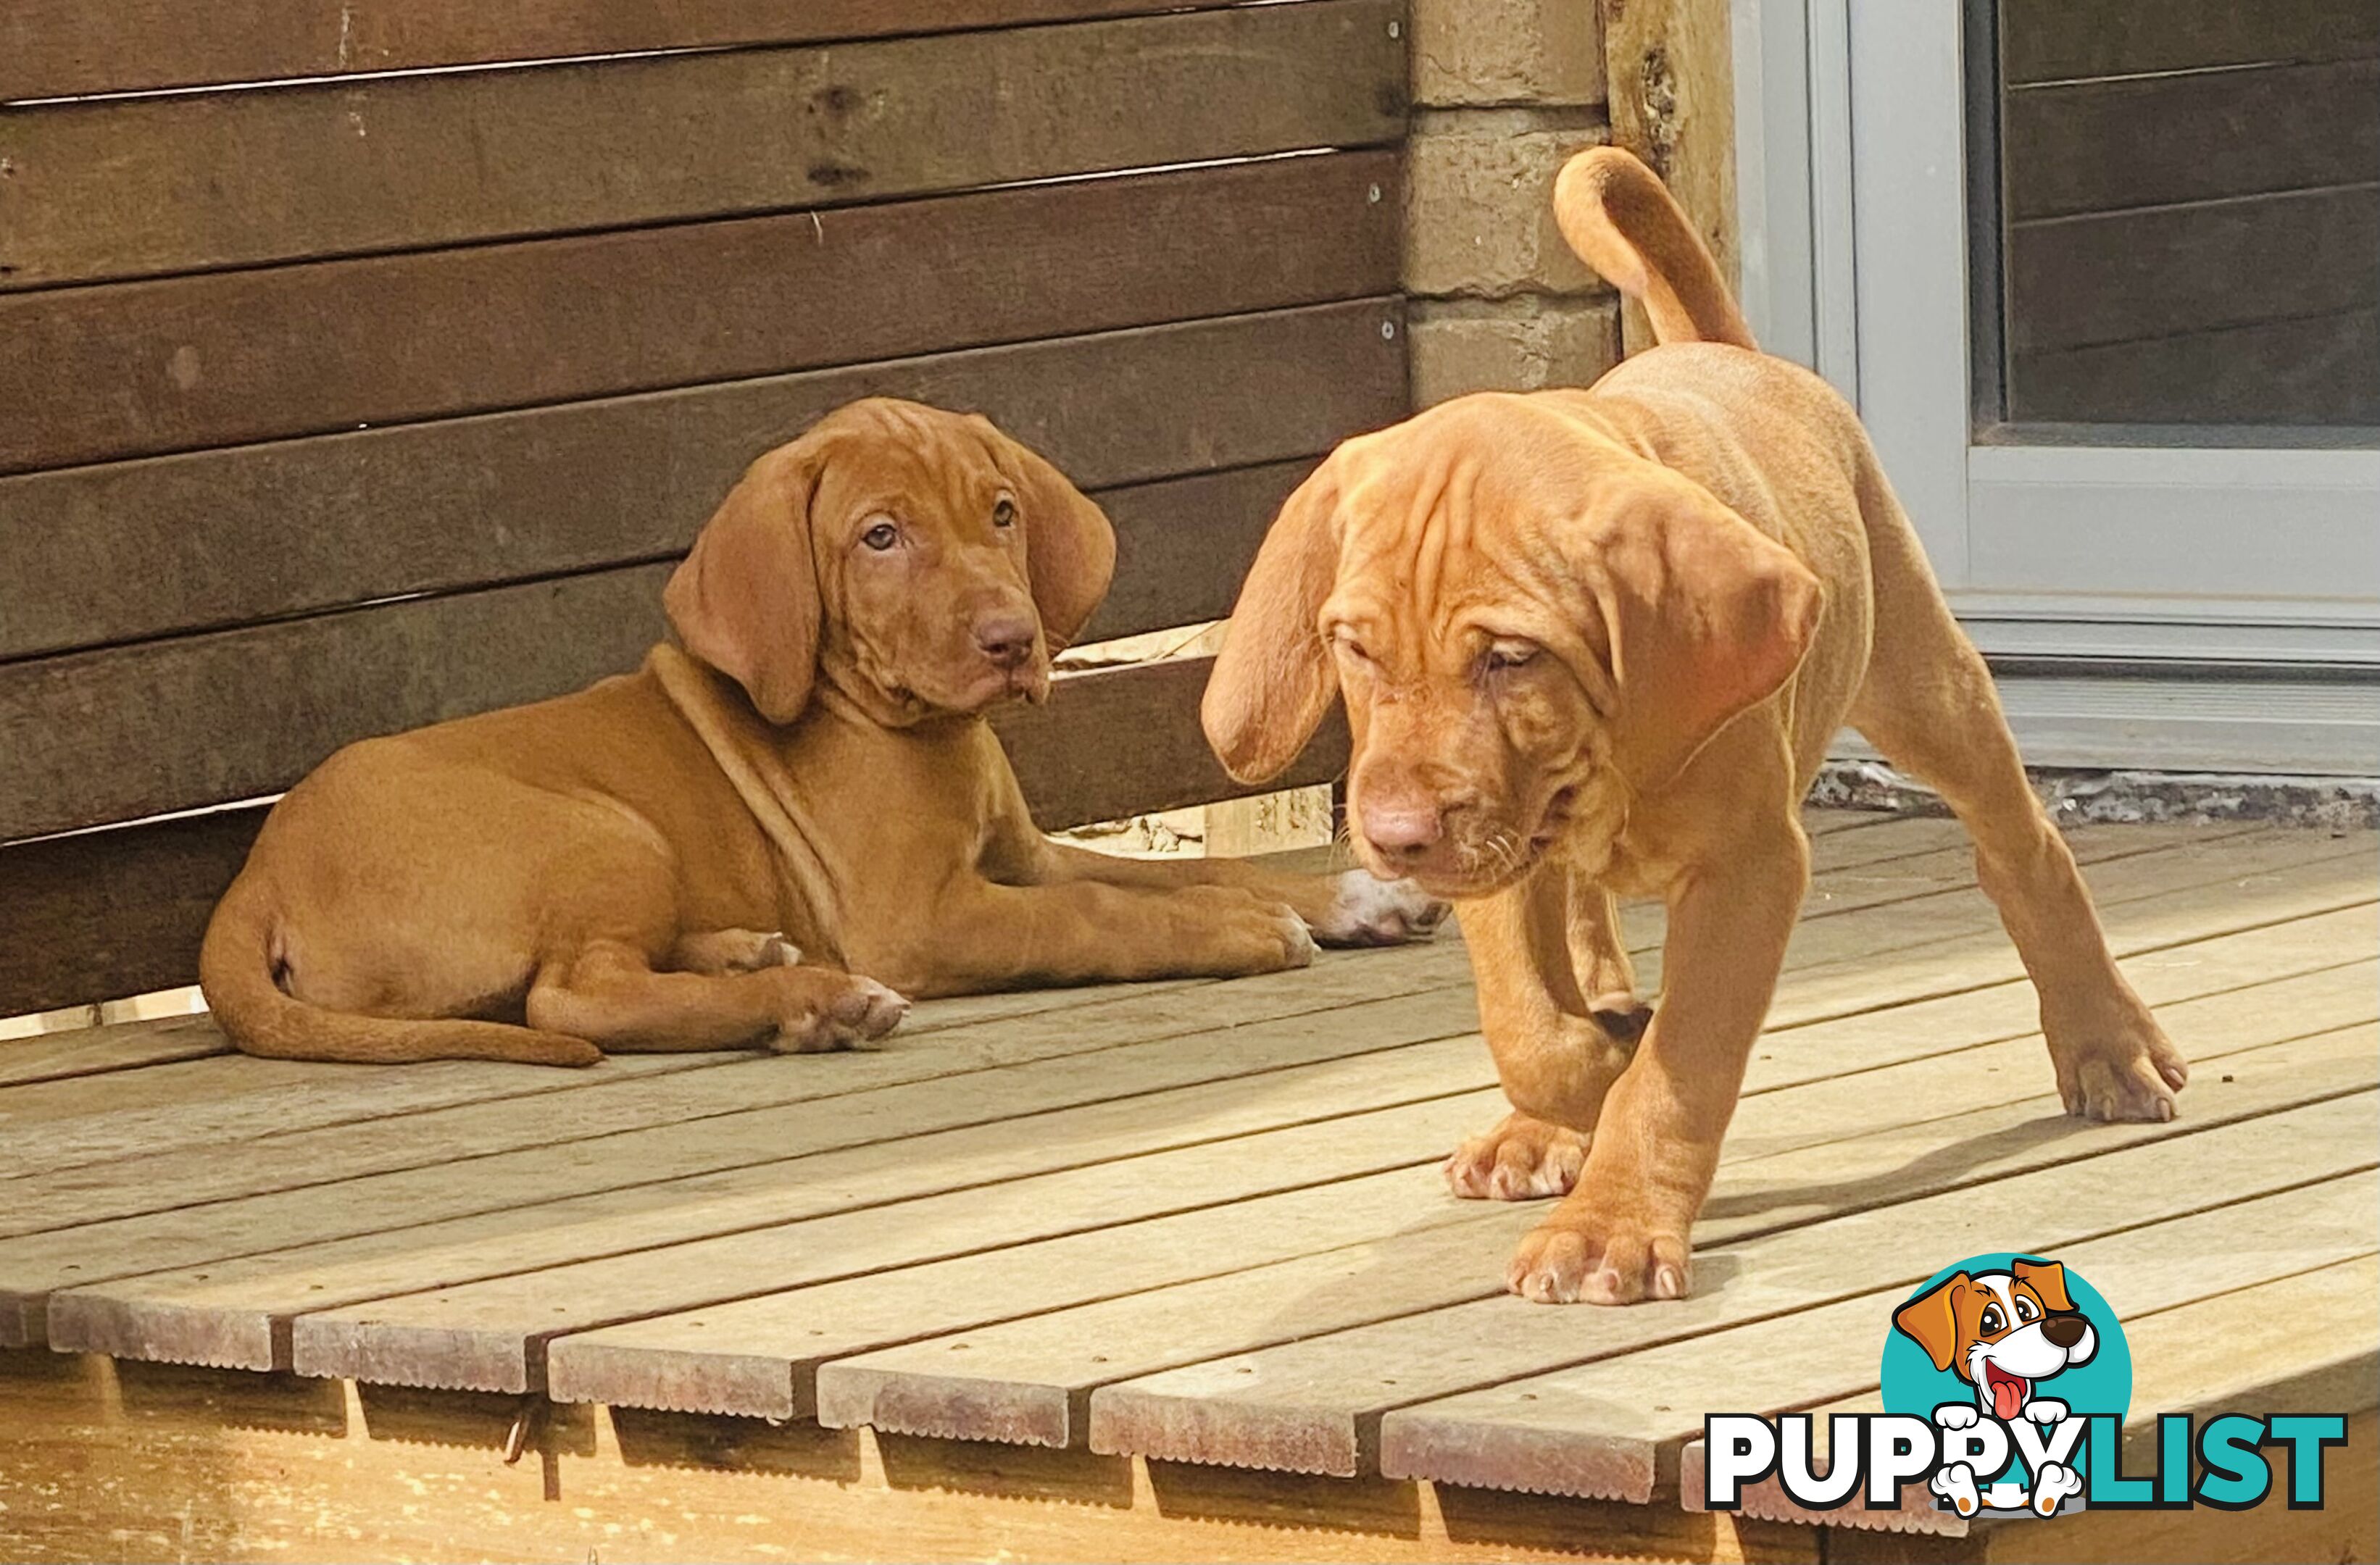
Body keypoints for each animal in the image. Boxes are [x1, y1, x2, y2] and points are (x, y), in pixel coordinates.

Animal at [199, 397, 1428, 1065]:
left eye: (1001, 513)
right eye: (879, 538)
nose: (1012, 639)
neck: (918, 730)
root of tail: (258, 874)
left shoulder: (1021, 857)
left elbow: (1155, 876)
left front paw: (1350, 896)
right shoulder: (919, 919)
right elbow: (1094, 917)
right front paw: (1238, 927)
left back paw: (754, 955)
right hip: (604, 832)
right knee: (574, 993)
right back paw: (812, 1002)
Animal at [1199, 152, 2180, 1303]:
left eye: (1509, 659)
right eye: (1354, 650)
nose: (1394, 840)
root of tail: (1726, 353)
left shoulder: (1749, 867)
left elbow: (1681, 1065)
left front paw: (1611, 1221)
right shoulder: (1497, 856)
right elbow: (1529, 1026)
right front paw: (1581, 1080)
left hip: (1920, 681)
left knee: (2022, 847)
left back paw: (2105, 1042)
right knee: (1582, 931)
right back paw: (1548, 1111)